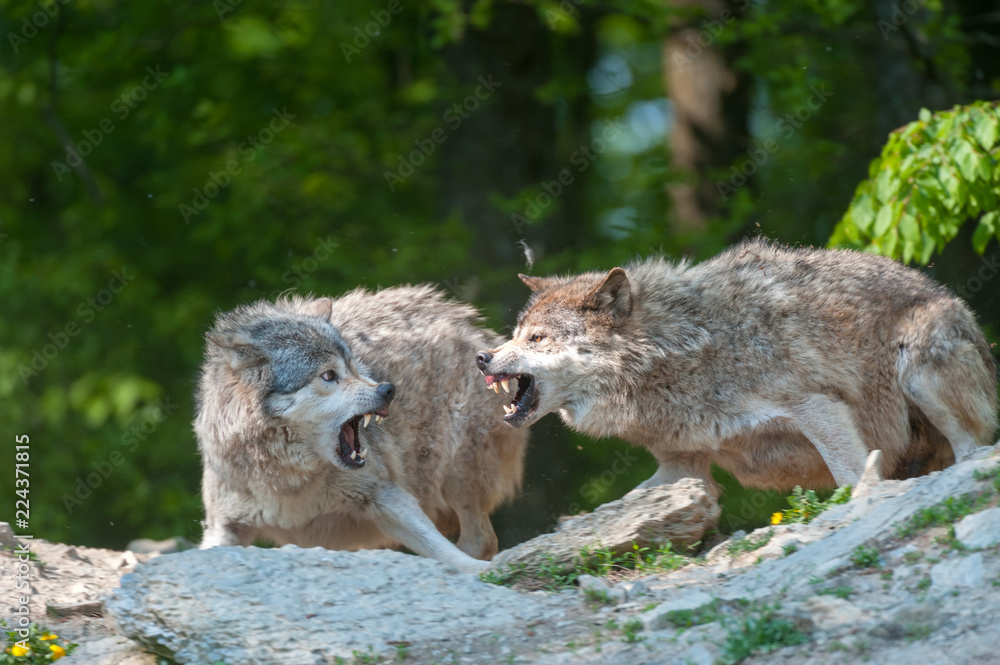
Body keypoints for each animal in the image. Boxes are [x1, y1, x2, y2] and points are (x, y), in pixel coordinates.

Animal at [196, 287, 527, 573]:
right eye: (329, 375)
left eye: (354, 367)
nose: (388, 389)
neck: (290, 484)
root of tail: (473, 325)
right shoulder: (224, 526)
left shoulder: (386, 496)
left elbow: (446, 552)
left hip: (456, 476)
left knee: (481, 540)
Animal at [477, 238, 998, 495]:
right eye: (516, 333)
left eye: (536, 339)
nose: (482, 357)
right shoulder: (681, 464)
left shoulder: (818, 408)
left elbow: (852, 476)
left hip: (917, 371)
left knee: (974, 446)